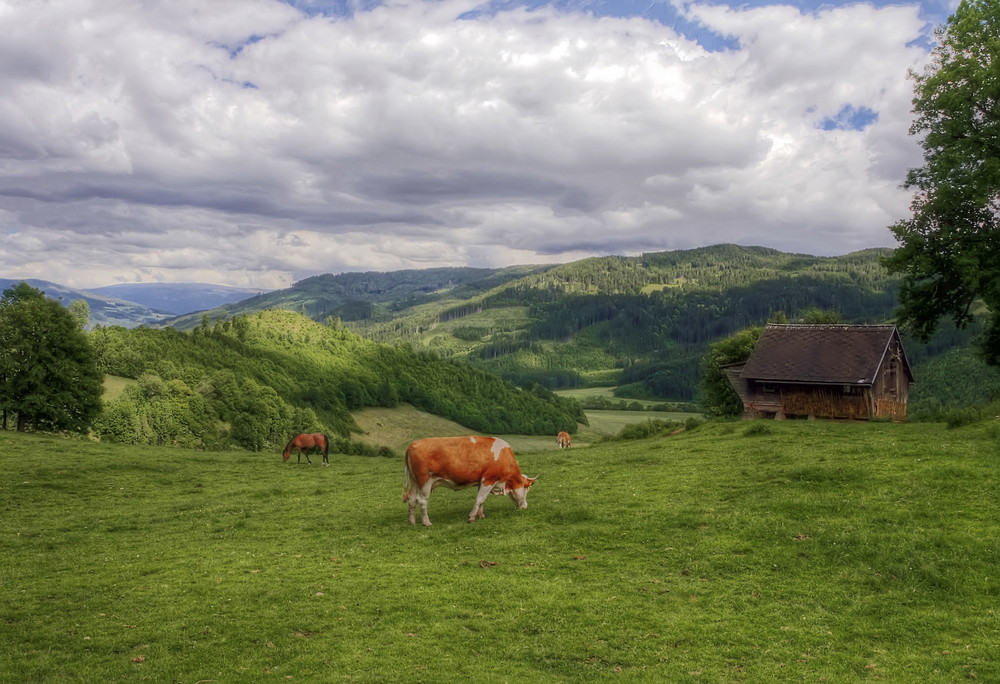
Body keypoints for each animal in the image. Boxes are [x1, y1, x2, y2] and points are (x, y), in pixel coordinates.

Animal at [402, 436, 536, 528]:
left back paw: (411, 521)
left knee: (412, 499)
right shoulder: (489, 479)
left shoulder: (481, 481)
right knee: (422, 501)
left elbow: (482, 500)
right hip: (425, 482)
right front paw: (471, 517)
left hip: (415, 482)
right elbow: (480, 499)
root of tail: (413, 444)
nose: (525, 506)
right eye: (526, 489)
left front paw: (481, 515)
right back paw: (426, 522)